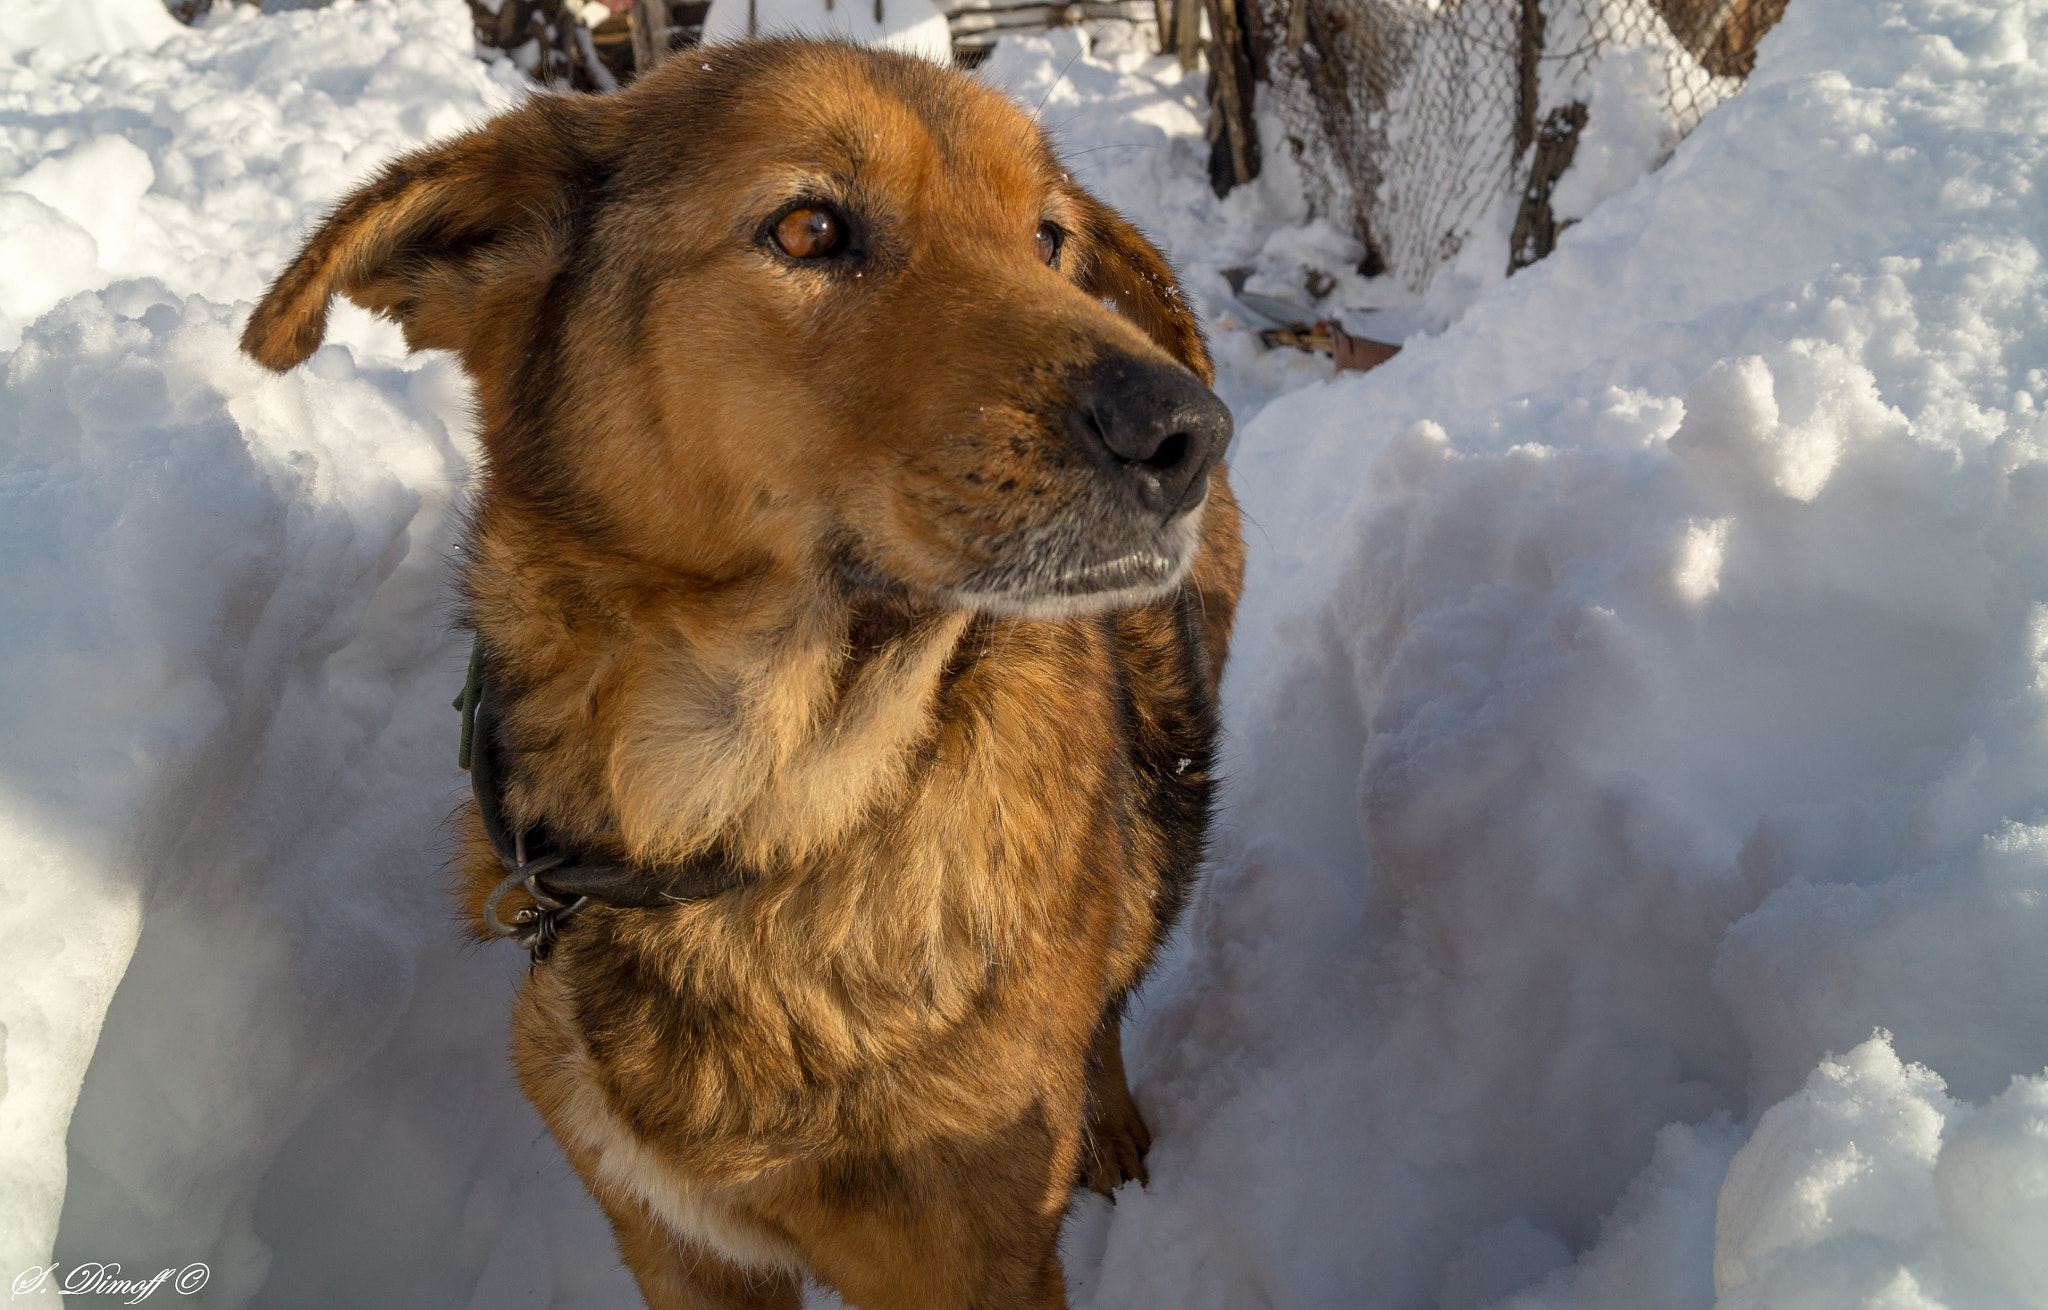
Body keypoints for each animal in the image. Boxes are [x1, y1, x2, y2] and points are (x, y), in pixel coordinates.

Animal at [245, 40, 1245, 1310]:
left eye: (1048, 239)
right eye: (808, 228)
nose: (1187, 433)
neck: (754, 816)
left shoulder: (976, 1260)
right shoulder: (674, 1240)